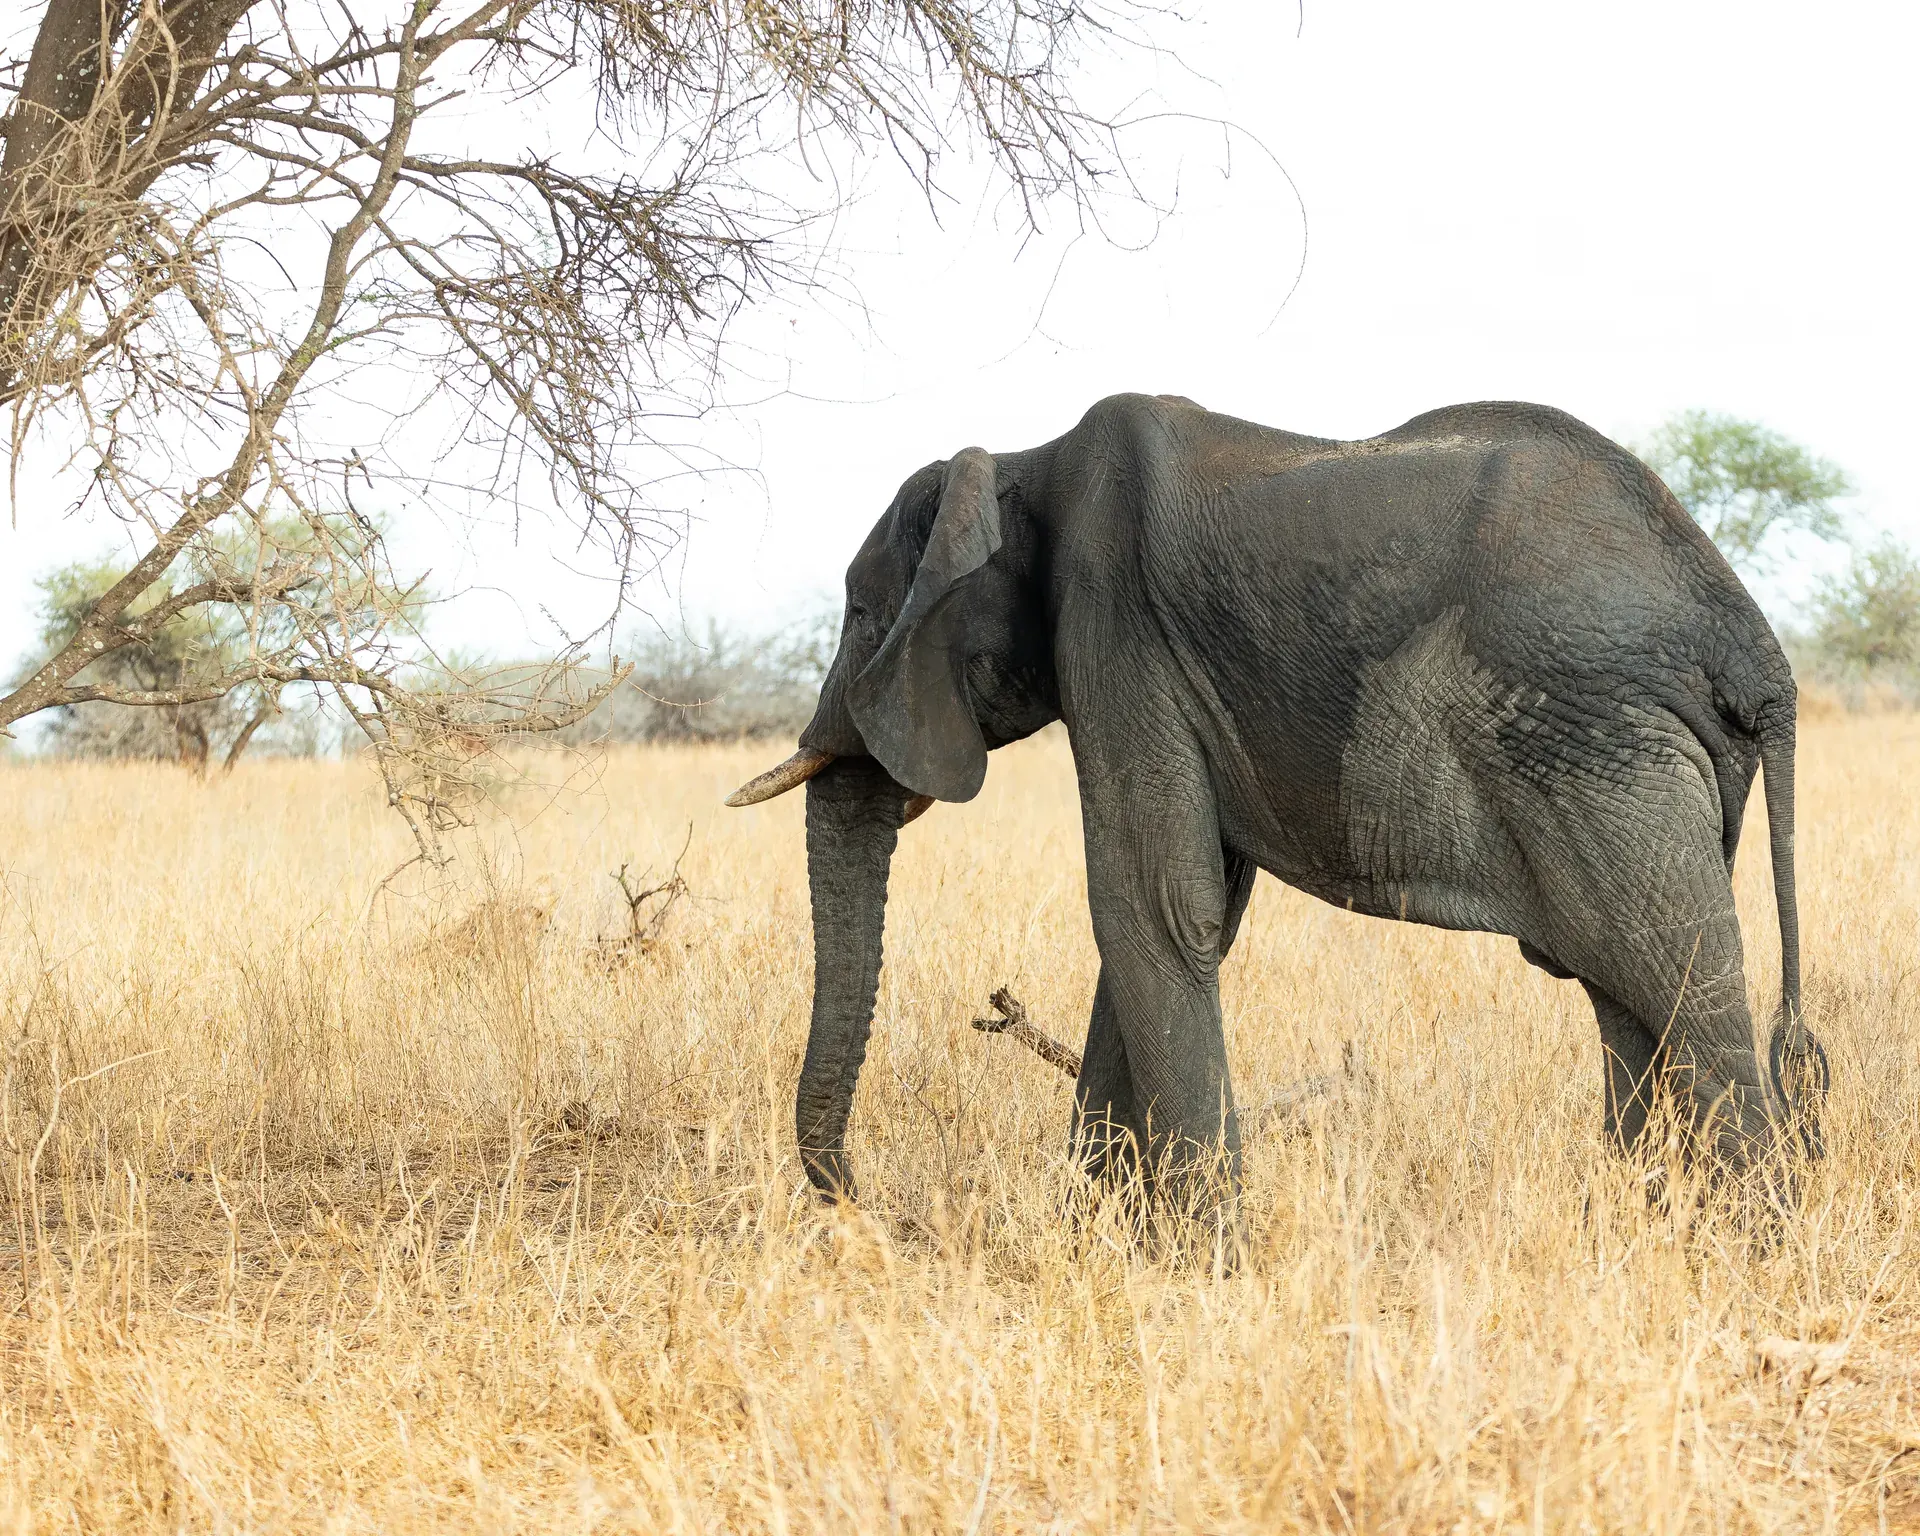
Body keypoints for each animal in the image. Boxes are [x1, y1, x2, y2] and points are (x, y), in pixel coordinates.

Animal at [727, 393, 1830, 1207]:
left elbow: (1149, 909)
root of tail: (1754, 648)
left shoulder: (1115, 629)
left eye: (860, 614)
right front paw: (1100, 1235)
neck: (1020, 463)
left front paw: (1198, 1268)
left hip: (1598, 746)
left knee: (1679, 986)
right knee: (1627, 1001)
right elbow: (1185, 914)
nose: (865, 1209)